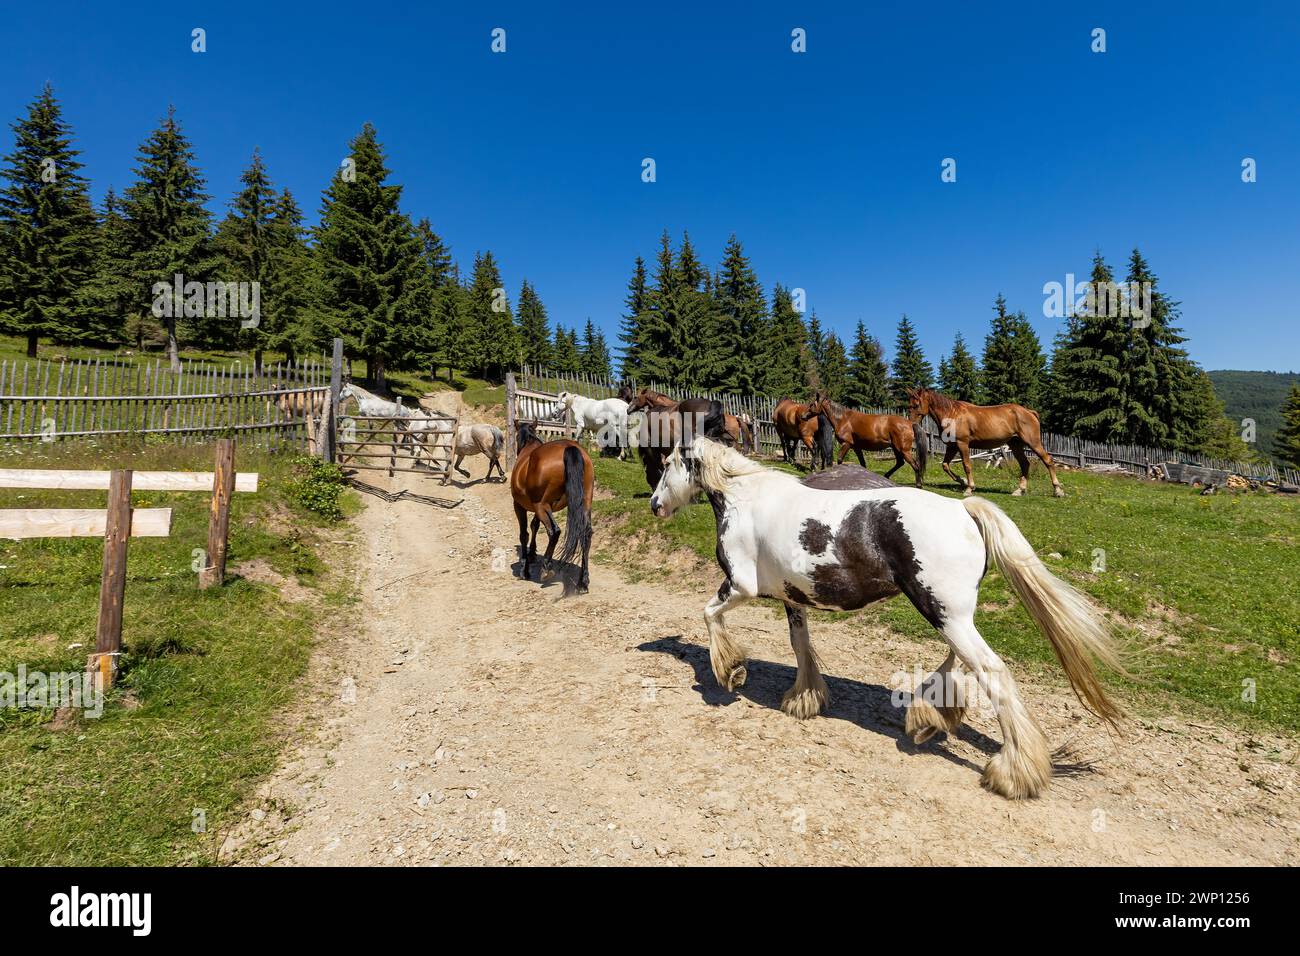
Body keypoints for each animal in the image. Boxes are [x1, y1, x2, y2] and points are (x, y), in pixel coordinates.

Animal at [511, 422, 594, 593]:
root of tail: (570, 448)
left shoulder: (519, 506)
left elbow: (524, 534)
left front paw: (524, 569)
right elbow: (534, 526)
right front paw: (532, 553)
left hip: (541, 505)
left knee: (554, 531)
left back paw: (546, 567)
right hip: (584, 503)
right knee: (586, 533)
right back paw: (583, 581)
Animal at [648, 433, 1124, 798]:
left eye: (668, 463)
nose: (655, 505)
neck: (743, 498)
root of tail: (962, 509)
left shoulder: (740, 587)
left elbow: (709, 615)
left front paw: (730, 672)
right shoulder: (793, 597)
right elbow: (800, 645)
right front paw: (804, 699)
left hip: (943, 612)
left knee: (991, 671)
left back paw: (1013, 772)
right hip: (949, 612)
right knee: (958, 662)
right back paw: (930, 719)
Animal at [908, 388, 1064, 497]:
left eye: (916, 404)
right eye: (910, 404)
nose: (911, 423)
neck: (952, 414)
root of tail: (1029, 412)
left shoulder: (962, 444)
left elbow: (967, 465)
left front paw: (969, 488)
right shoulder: (952, 446)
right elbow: (945, 465)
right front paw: (963, 481)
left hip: (1033, 442)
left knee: (1048, 460)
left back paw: (1057, 490)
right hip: (1015, 444)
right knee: (1025, 464)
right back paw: (1020, 490)